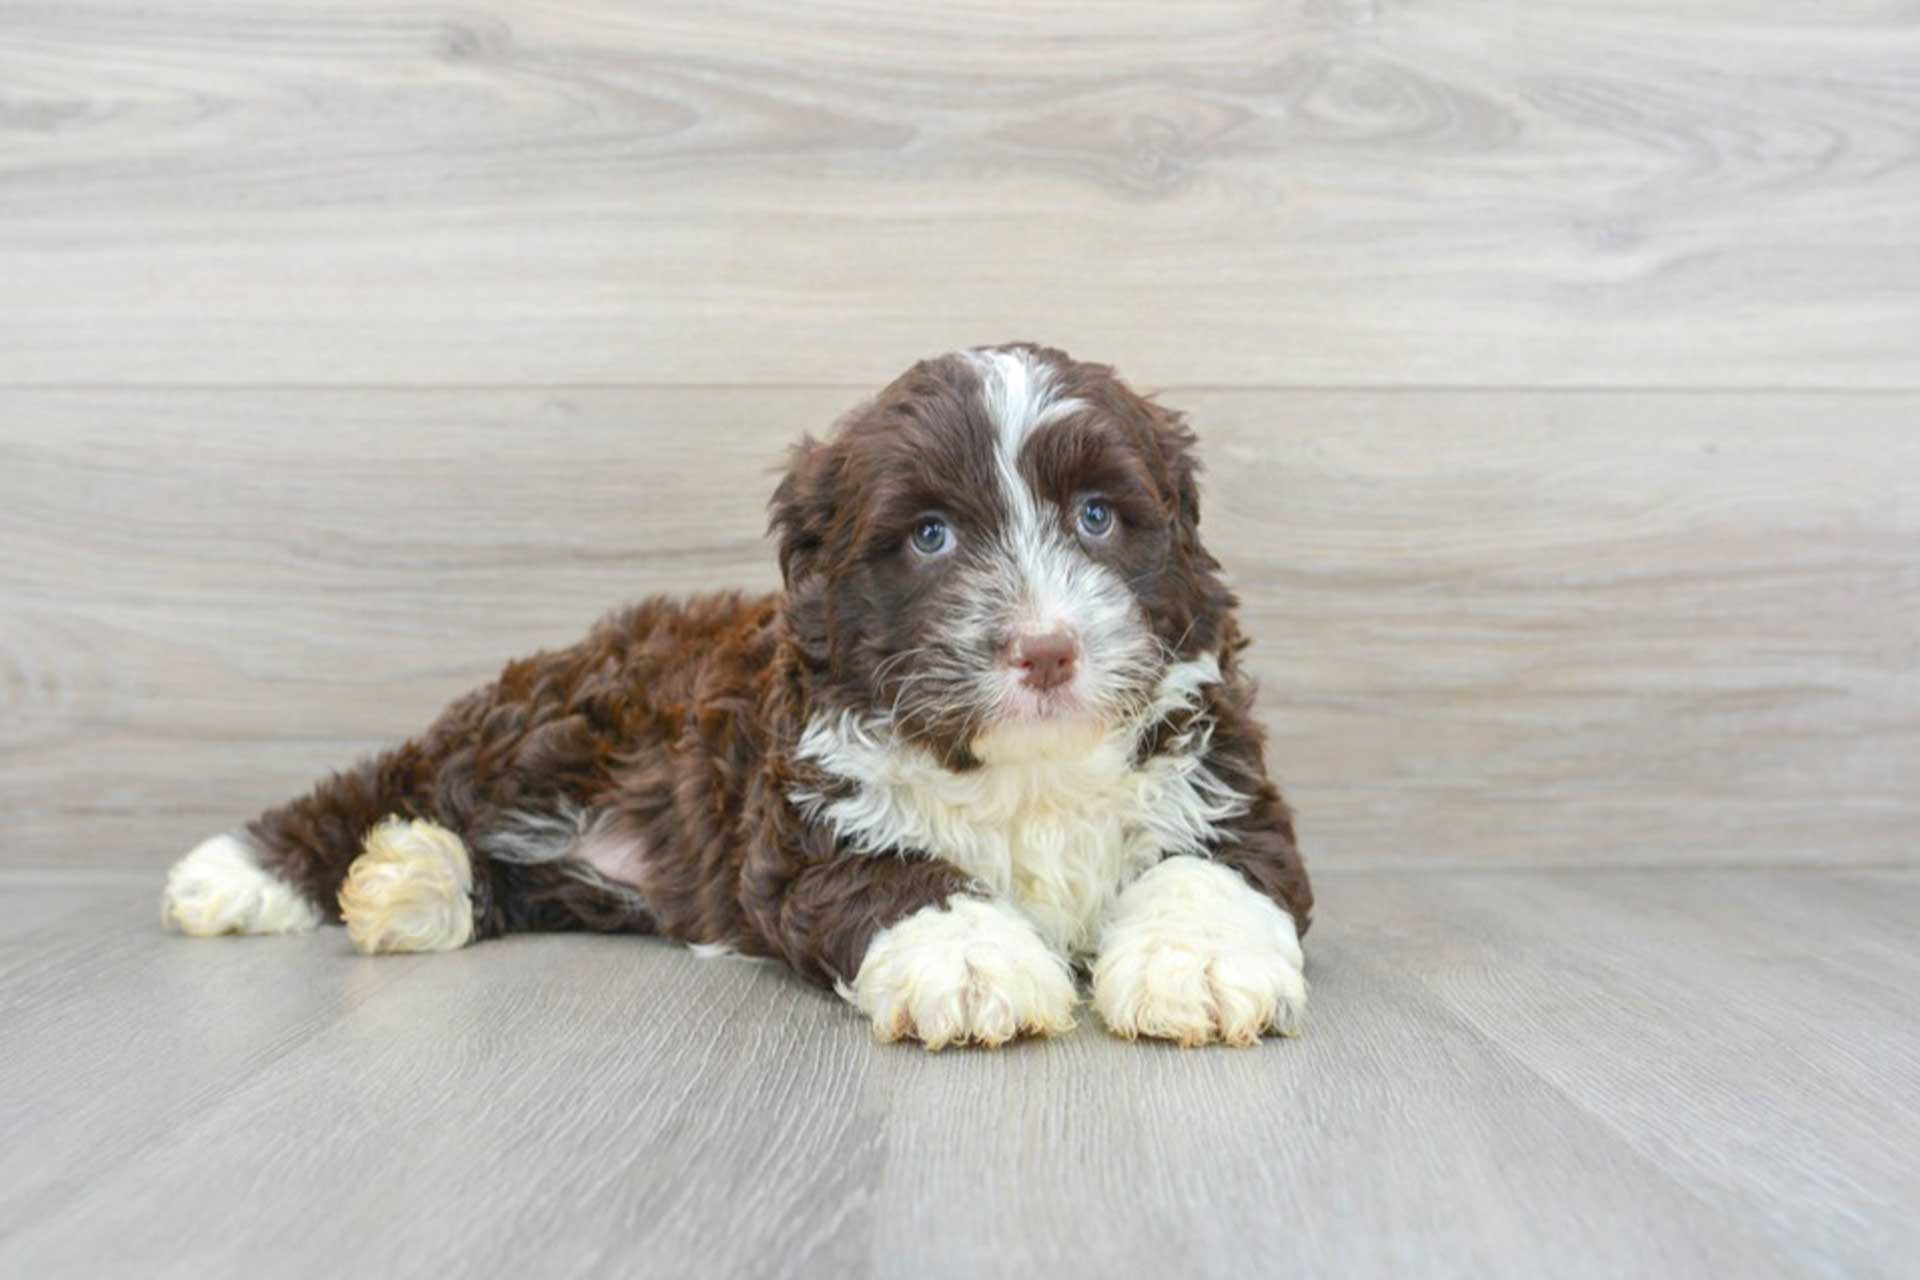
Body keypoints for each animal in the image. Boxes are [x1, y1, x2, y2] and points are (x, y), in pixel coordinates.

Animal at [165, 343, 1313, 1051]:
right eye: (931, 536)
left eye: (1097, 516)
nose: (1045, 650)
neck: (1025, 768)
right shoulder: (806, 817)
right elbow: (903, 877)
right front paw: (972, 961)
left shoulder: (1222, 775)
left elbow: (1218, 868)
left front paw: (1201, 964)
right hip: (544, 728)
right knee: (388, 777)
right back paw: (240, 873)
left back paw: (413, 884)